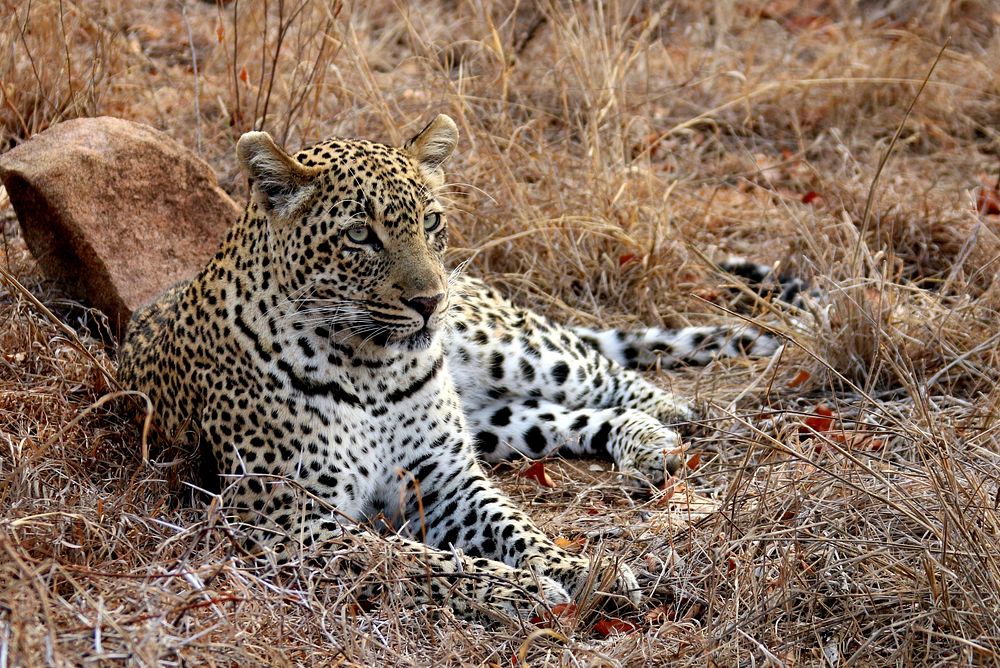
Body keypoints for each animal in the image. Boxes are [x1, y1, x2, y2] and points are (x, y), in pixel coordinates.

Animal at [115, 113, 772, 620]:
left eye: (430, 222)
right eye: (360, 235)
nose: (431, 301)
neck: (369, 368)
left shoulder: (444, 478)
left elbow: (515, 526)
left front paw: (578, 567)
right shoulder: (290, 520)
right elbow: (412, 559)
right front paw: (523, 589)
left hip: (509, 350)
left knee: (607, 374)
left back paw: (671, 424)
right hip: (495, 421)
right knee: (562, 418)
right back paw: (648, 441)